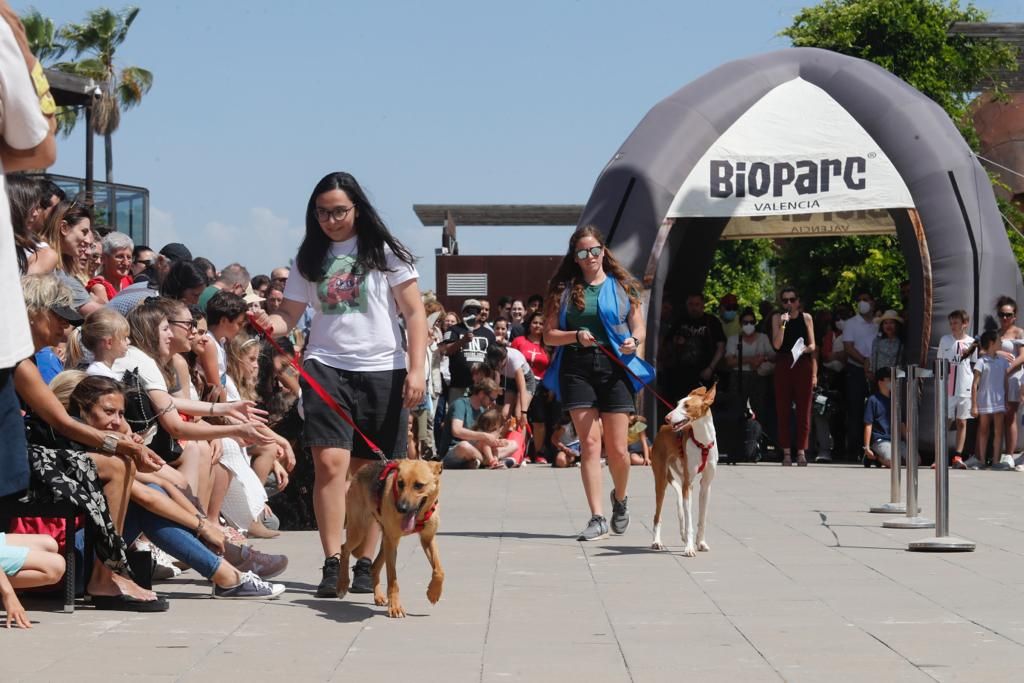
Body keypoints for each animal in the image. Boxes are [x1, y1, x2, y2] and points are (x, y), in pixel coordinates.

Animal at [339, 458, 444, 618]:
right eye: (400, 483)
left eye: (419, 485)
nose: (401, 508)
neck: (419, 517)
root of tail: (361, 470)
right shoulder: (392, 541)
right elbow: (392, 579)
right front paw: (395, 607)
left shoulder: (428, 538)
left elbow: (439, 571)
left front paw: (433, 593)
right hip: (360, 531)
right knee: (344, 548)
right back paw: (342, 585)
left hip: (386, 541)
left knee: (374, 567)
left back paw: (378, 596)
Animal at [651, 385, 716, 557]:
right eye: (677, 404)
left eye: (686, 406)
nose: (667, 417)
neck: (702, 443)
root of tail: (662, 428)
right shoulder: (689, 483)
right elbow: (690, 521)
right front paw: (689, 548)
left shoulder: (706, 485)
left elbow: (701, 519)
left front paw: (700, 543)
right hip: (661, 480)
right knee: (657, 515)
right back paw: (656, 541)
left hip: (681, 476)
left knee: (680, 502)